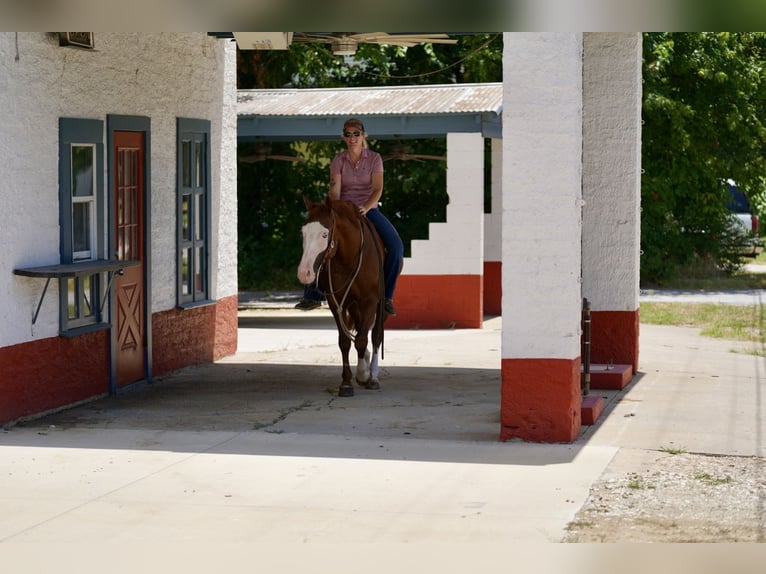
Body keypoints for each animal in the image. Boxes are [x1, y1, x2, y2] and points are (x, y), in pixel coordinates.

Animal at [296, 196, 388, 398]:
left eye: (324, 234)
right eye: (303, 233)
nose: (304, 273)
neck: (348, 257)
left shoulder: (370, 301)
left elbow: (362, 339)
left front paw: (363, 375)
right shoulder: (336, 303)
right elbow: (345, 342)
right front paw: (346, 383)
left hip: (379, 306)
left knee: (375, 335)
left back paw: (373, 375)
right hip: (353, 307)